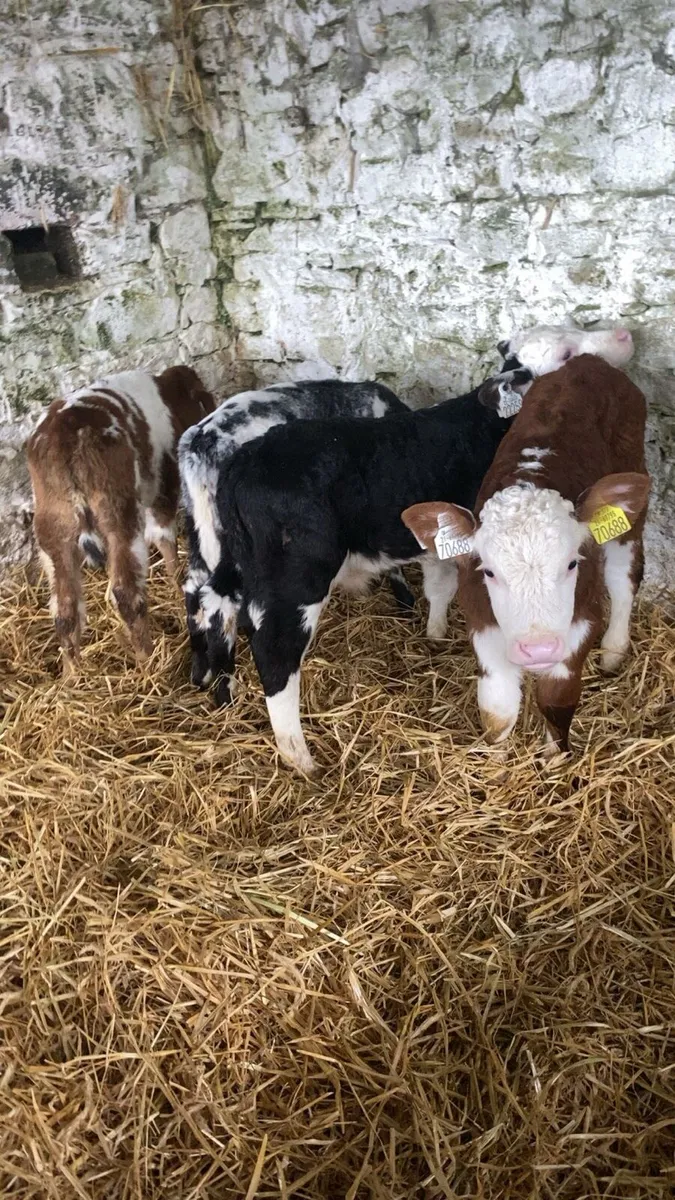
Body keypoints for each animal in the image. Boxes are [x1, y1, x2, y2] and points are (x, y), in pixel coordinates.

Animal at [27, 366, 215, 671]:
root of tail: (64, 434)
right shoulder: (163, 487)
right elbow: (165, 540)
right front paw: (177, 589)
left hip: (53, 524)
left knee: (64, 606)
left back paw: (72, 672)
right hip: (118, 512)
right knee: (125, 592)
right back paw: (147, 659)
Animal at [402, 355, 650, 757]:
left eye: (572, 563)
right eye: (489, 572)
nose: (538, 649)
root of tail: (590, 361)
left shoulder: (580, 624)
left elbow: (556, 700)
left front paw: (554, 761)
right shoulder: (483, 626)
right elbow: (498, 711)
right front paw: (496, 760)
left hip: (631, 501)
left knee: (623, 577)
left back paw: (614, 649)